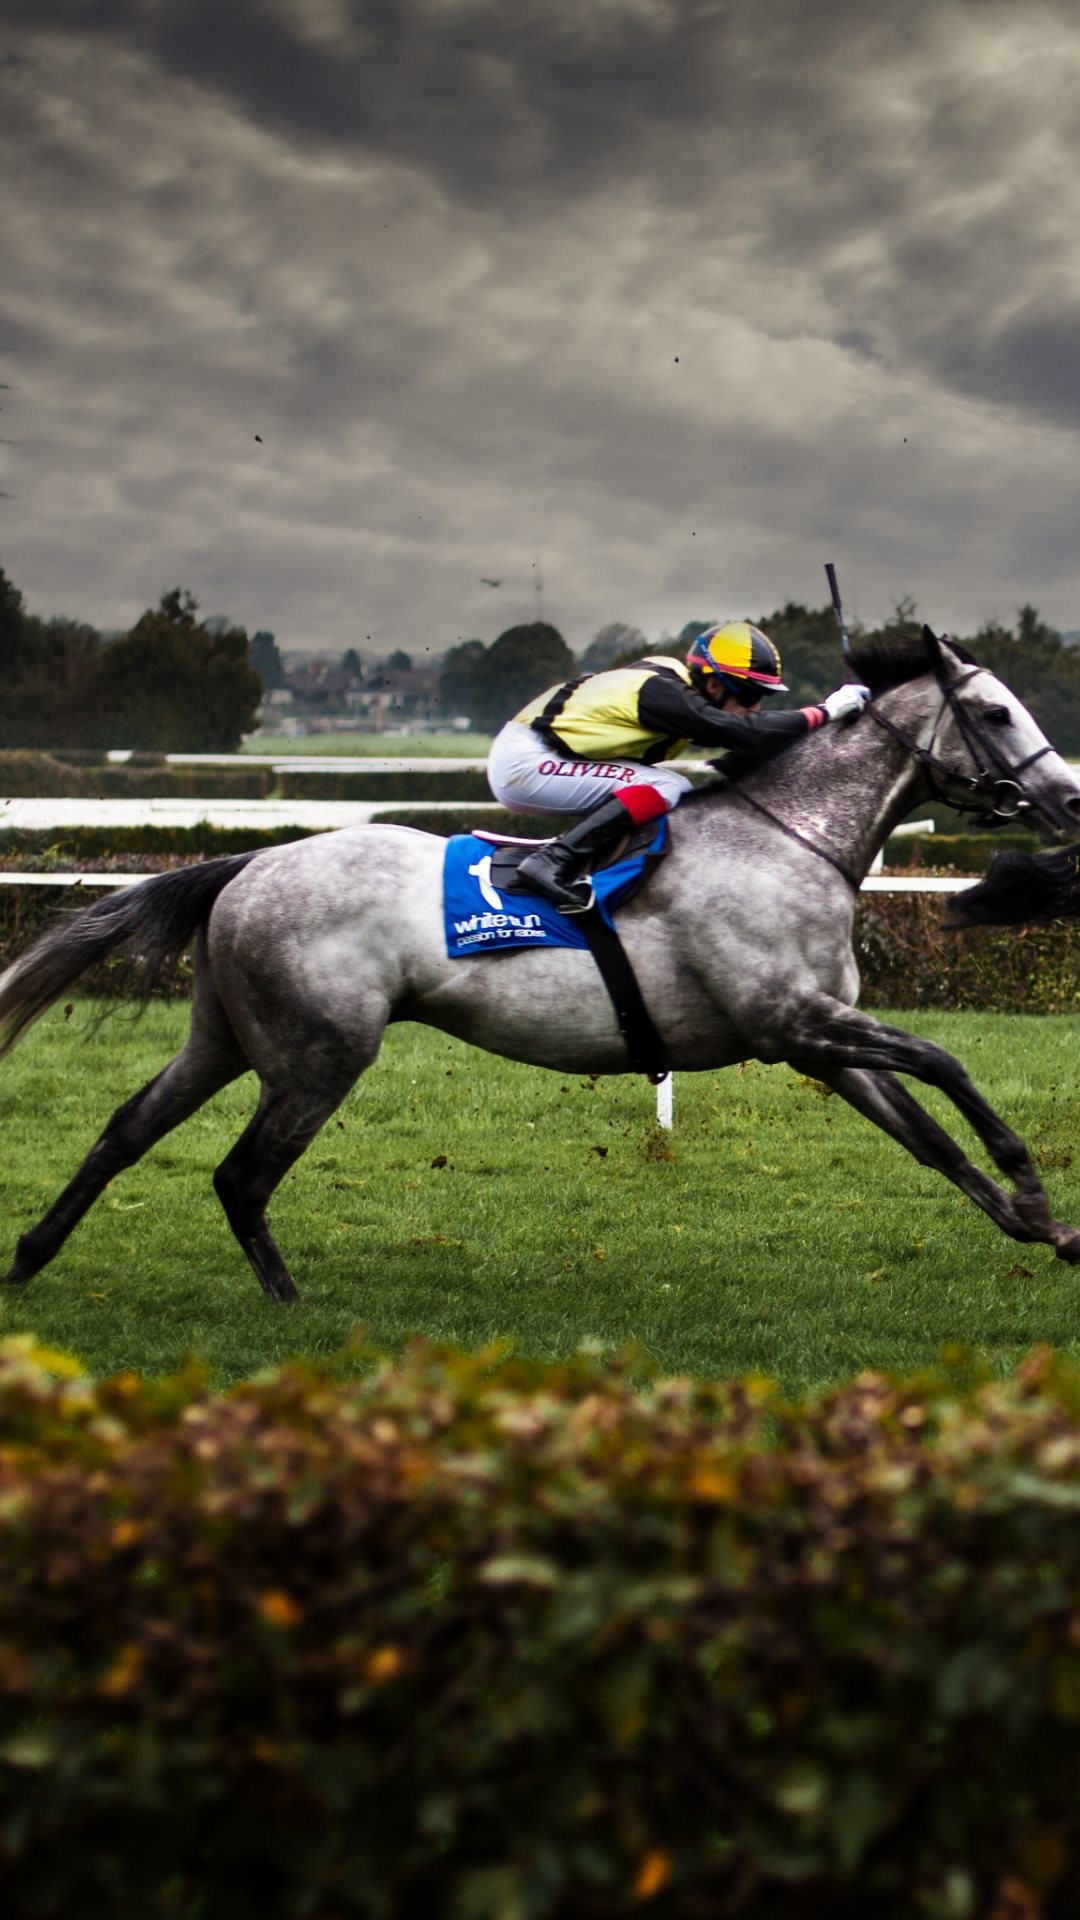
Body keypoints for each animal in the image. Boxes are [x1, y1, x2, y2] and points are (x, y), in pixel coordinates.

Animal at [3, 625, 1080, 1304]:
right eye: (994, 713)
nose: (1067, 796)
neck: (786, 838)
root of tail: (252, 860)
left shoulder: (817, 1041)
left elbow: (930, 1140)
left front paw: (1046, 1232)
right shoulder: (792, 1020)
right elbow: (947, 1062)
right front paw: (1034, 1190)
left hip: (225, 1035)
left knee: (127, 1129)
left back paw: (30, 1256)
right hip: (317, 1054)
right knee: (240, 1176)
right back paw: (288, 1304)